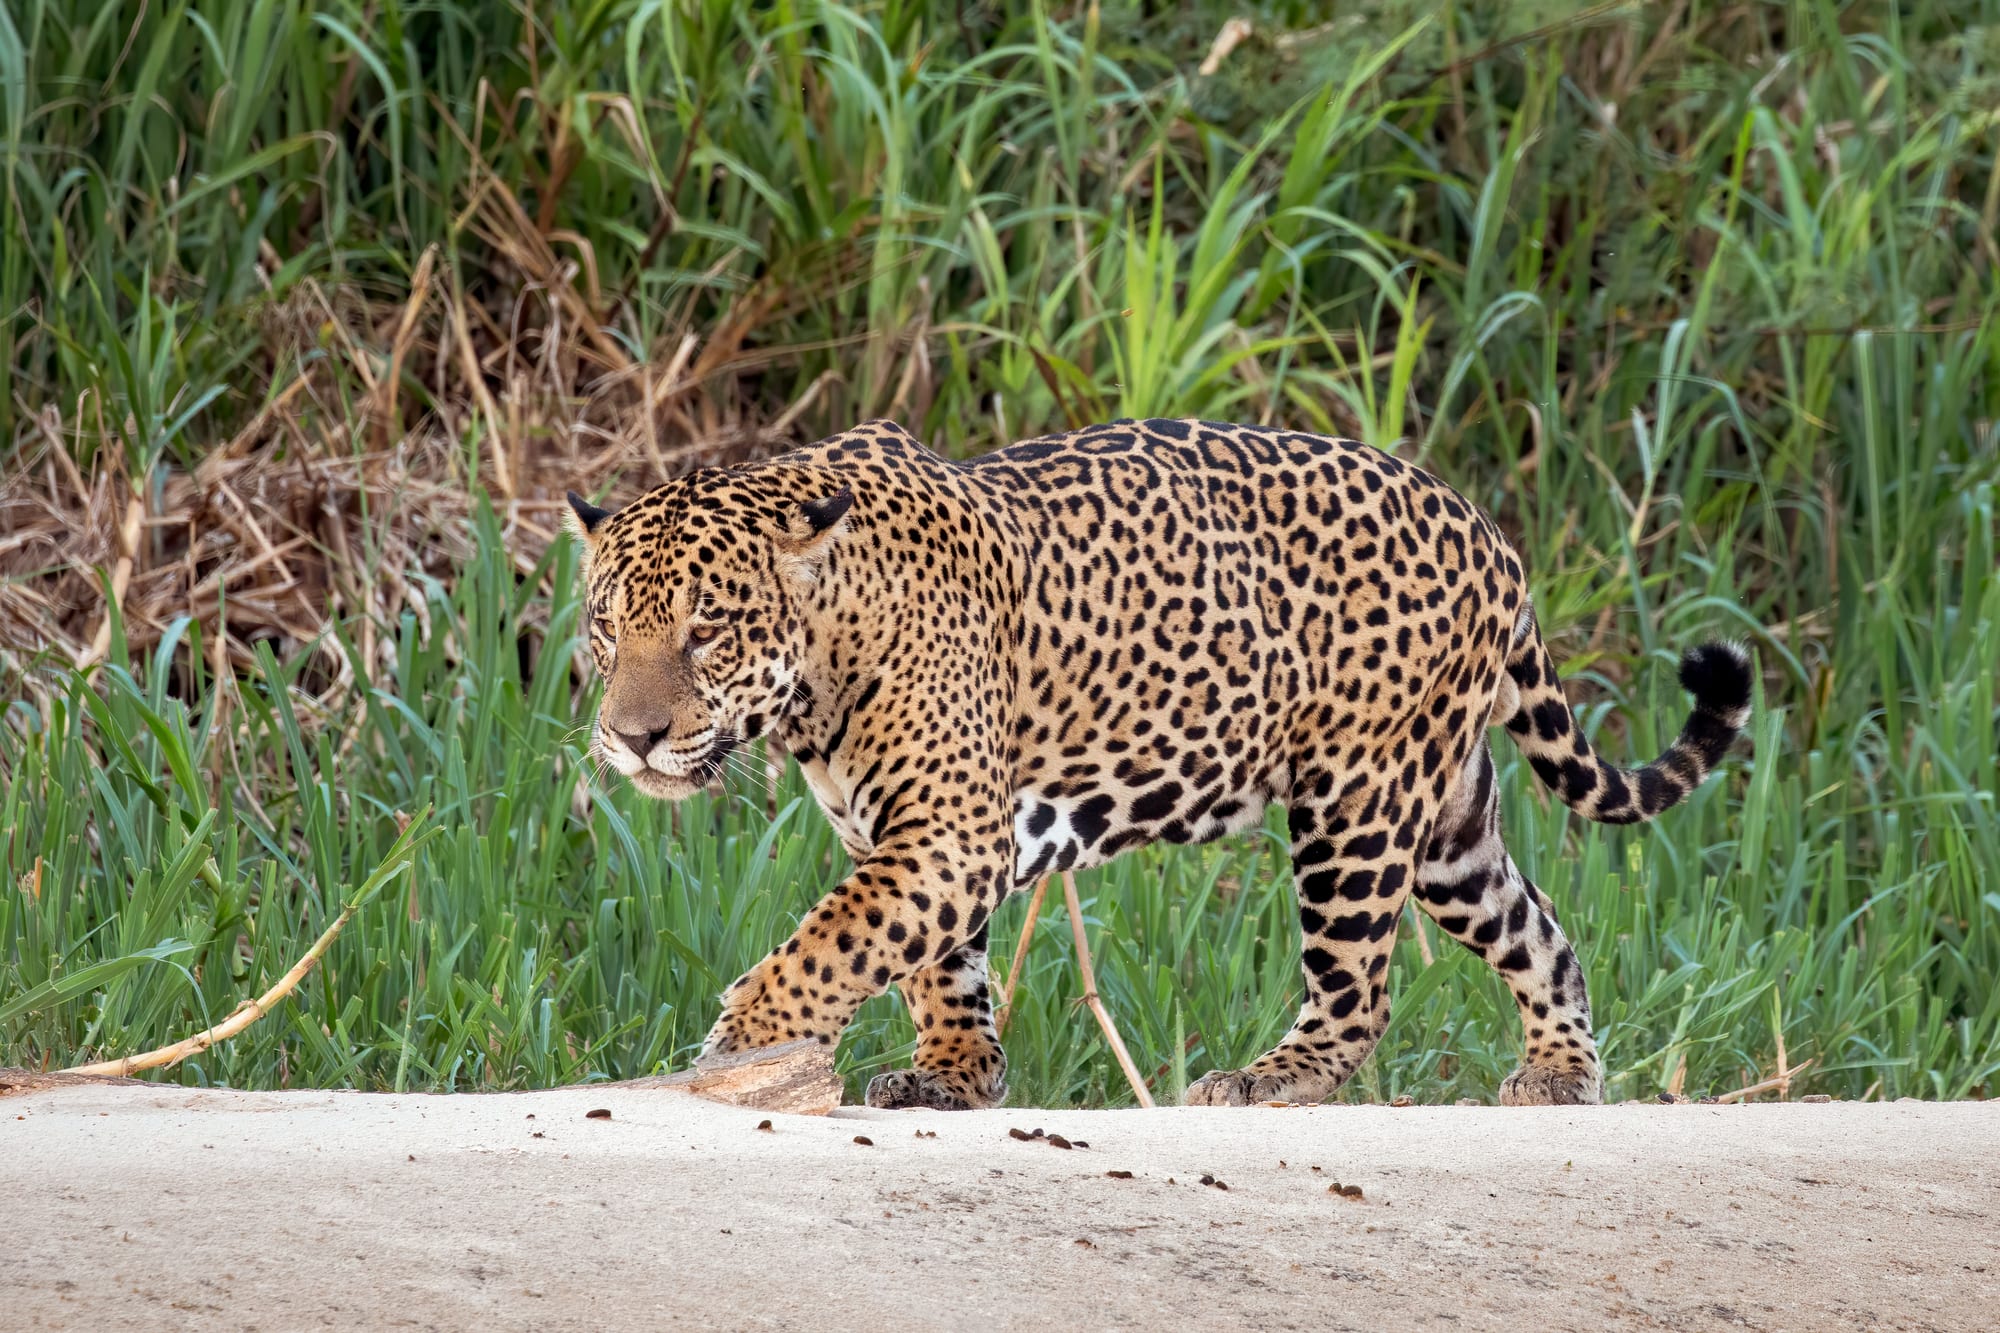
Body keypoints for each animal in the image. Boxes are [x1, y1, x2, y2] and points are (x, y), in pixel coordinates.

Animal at [566, 417, 1751, 1110]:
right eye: (607, 624)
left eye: (707, 632)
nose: (631, 737)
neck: (820, 666)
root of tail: (1488, 532)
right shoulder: (905, 838)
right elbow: (930, 961)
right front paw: (955, 1074)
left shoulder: (948, 836)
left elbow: (830, 942)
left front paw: (740, 1041)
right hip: (1447, 821)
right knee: (1541, 932)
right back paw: (1559, 1073)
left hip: (1356, 804)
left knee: (1357, 989)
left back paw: (1268, 1080)